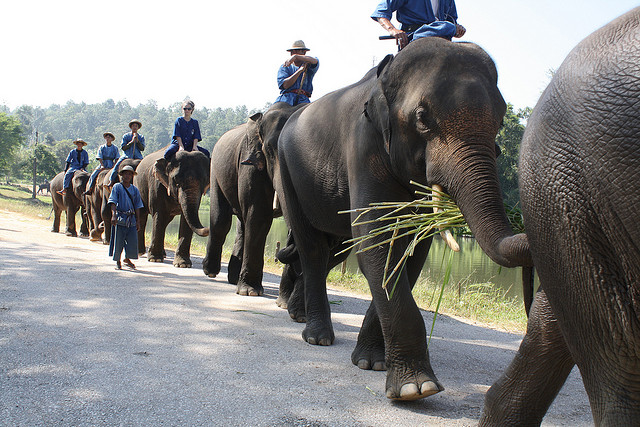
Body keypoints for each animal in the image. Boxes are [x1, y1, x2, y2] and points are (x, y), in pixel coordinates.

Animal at [204, 103, 306, 298]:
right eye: (271, 149)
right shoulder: (250, 162)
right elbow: (258, 213)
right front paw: (250, 292)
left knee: (242, 225)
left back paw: (233, 279)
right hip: (216, 170)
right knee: (221, 219)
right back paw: (210, 271)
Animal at [274, 36, 528, 402]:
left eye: (502, 121)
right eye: (422, 119)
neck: (386, 76)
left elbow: (411, 252)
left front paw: (372, 363)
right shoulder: (364, 145)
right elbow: (378, 241)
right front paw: (416, 389)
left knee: (332, 249)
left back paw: (305, 318)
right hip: (286, 170)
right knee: (313, 248)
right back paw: (318, 337)